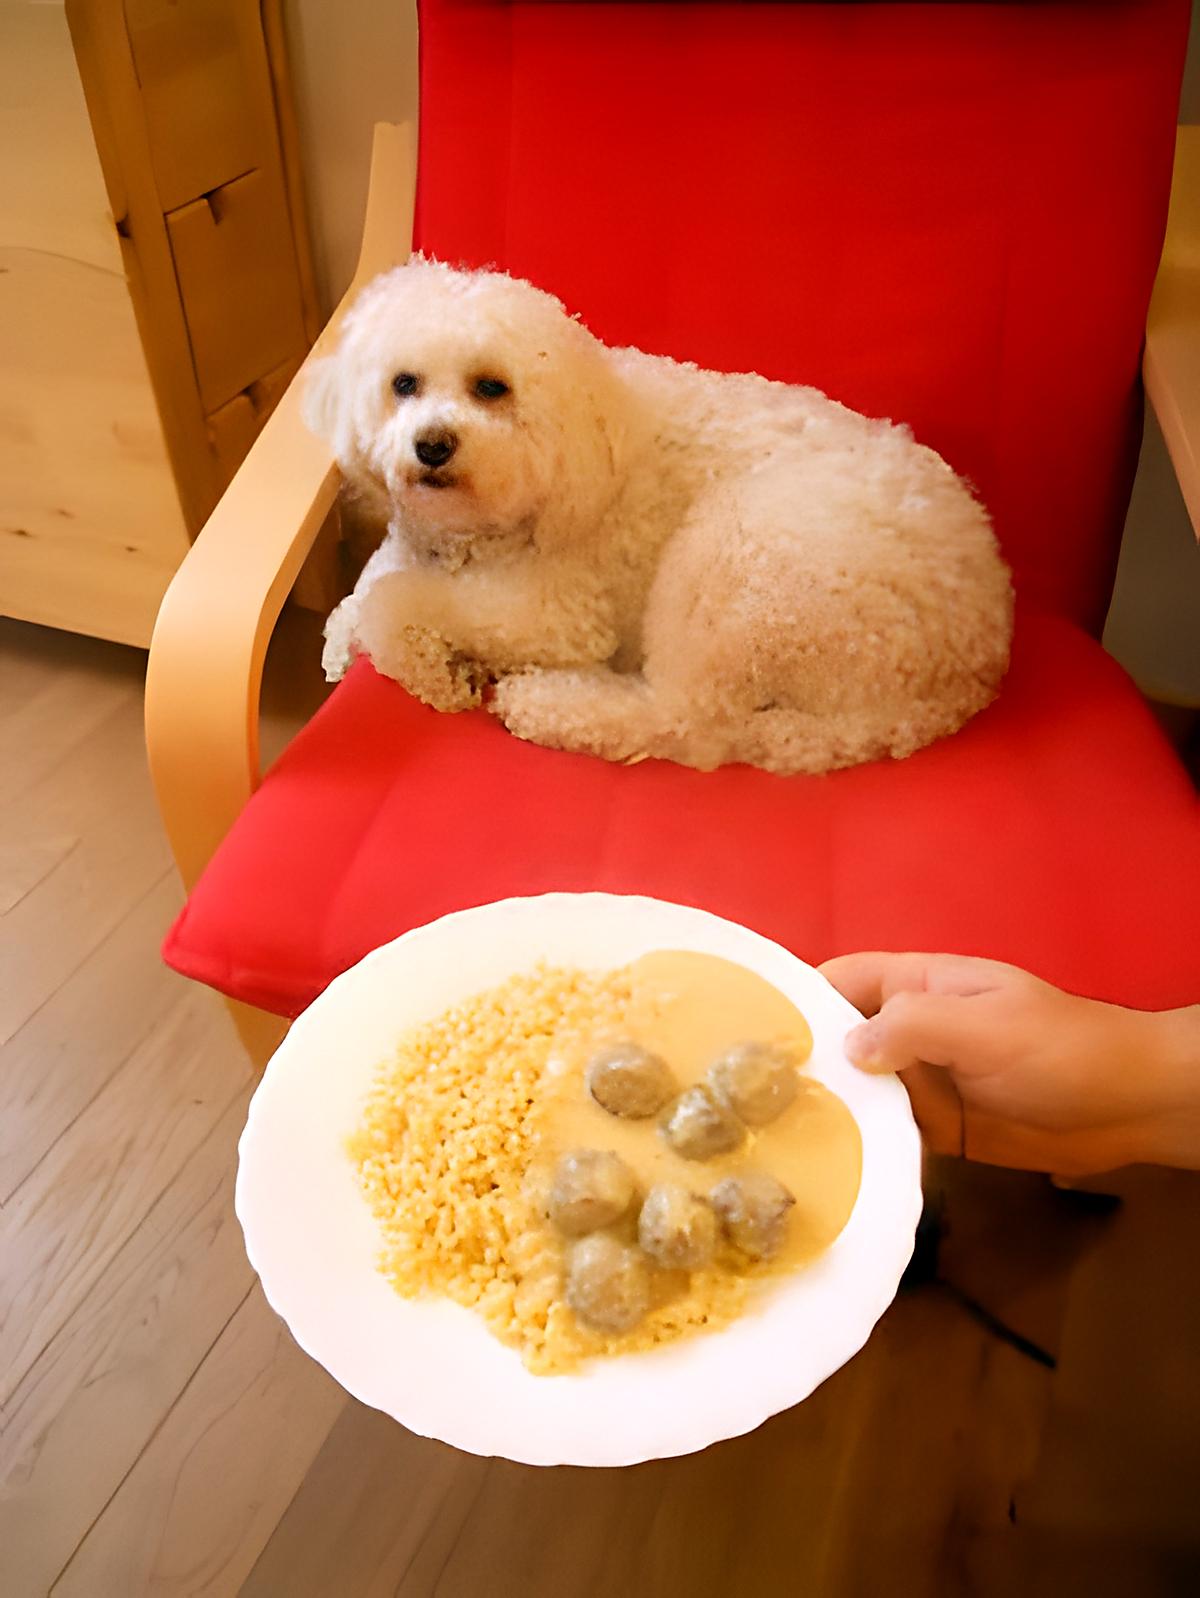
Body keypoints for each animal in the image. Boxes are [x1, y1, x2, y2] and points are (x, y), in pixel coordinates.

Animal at [301, 260, 1016, 773]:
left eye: (491, 388)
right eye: (403, 384)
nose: (432, 445)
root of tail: (978, 657)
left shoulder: (558, 614)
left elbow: (395, 602)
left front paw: (438, 671)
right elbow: (368, 590)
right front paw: (355, 641)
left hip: (742, 559)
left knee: (685, 721)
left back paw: (545, 704)